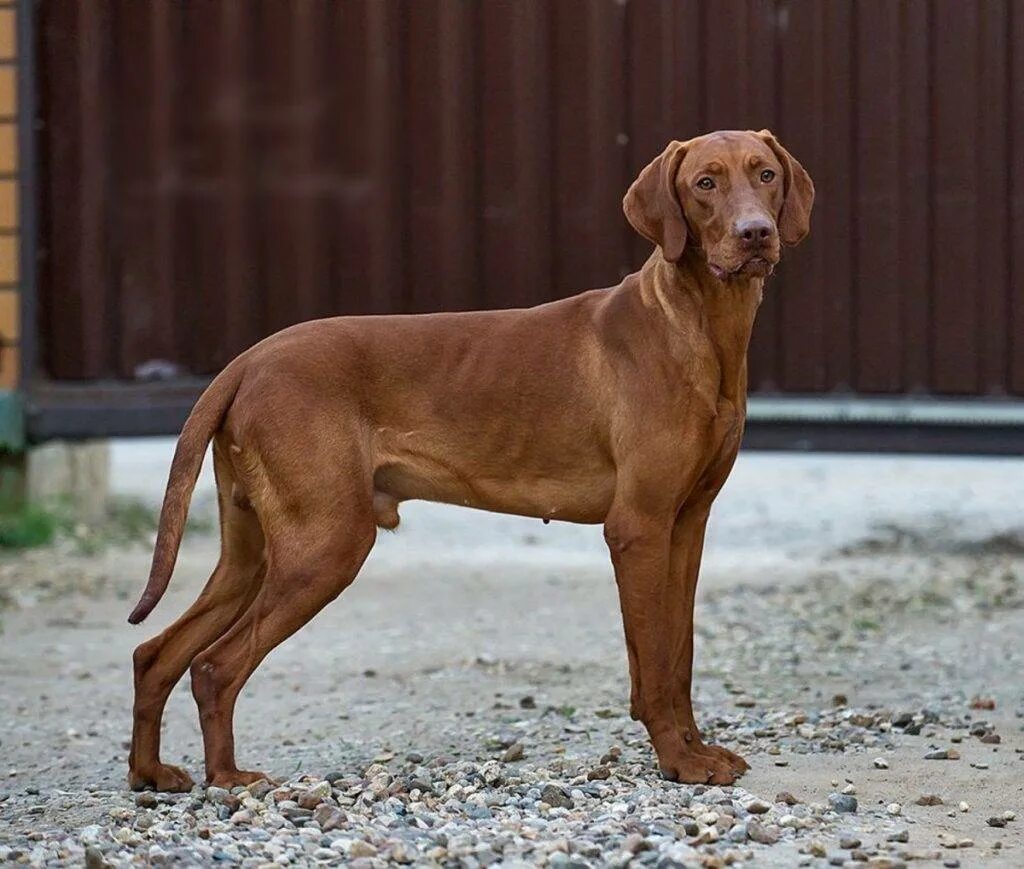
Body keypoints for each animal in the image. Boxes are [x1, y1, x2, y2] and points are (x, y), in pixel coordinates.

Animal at [130, 130, 815, 794]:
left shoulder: (686, 526)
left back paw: (150, 773)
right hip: (324, 546)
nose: (756, 233)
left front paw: (696, 749)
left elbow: (679, 657)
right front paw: (678, 761)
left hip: (255, 553)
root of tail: (247, 360)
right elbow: (652, 665)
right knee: (214, 666)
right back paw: (227, 779)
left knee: (156, 653)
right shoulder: (639, 528)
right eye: (705, 184)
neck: (697, 326)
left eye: (765, 175)